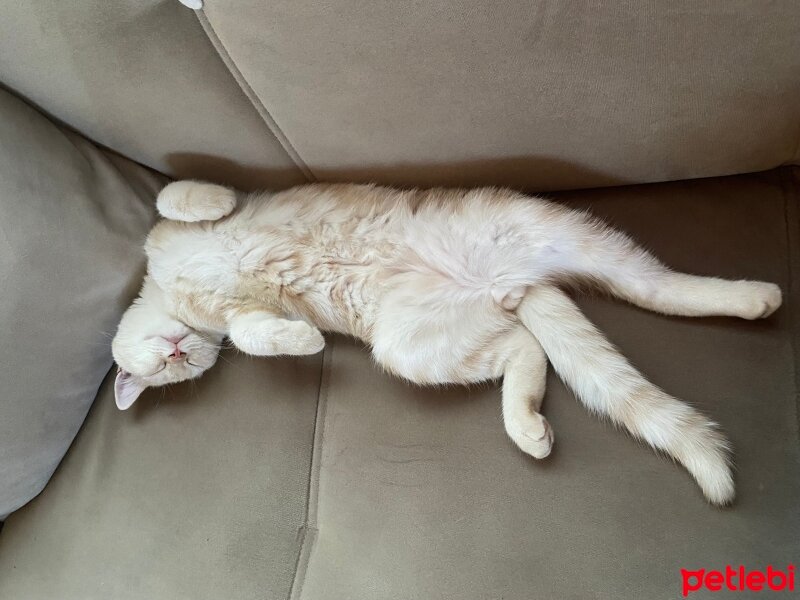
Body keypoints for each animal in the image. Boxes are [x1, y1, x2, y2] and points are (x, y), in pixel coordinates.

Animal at [111, 179, 780, 506]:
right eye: (170, 371)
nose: (177, 352)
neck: (173, 293)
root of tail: (507, 283)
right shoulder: (244, 317)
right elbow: (255, 337)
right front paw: (302, 338)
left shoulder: (174, 230)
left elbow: (176, 194)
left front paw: (213, 198)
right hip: (412, 347)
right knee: (530, 348)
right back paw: (527, 427)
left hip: (558, 234)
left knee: (659, 286)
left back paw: (756, 294)